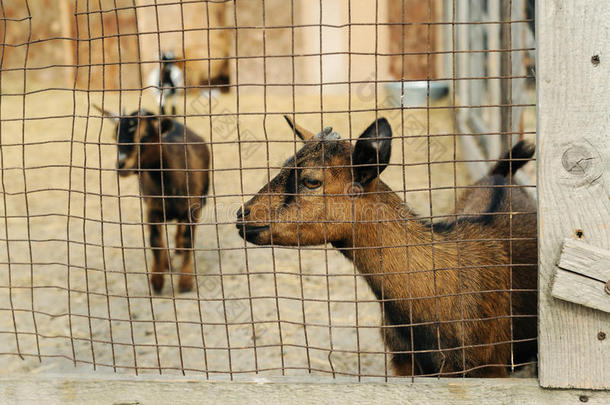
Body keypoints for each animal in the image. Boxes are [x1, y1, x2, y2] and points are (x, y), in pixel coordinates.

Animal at [94, 105, 209, 292]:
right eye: (114, 136)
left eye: (144, 136)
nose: (121, 166)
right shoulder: (152, 208)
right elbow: (155, 240)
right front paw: (157, 280)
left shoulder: (193, 208)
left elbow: (188, 239)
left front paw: (185, 281)